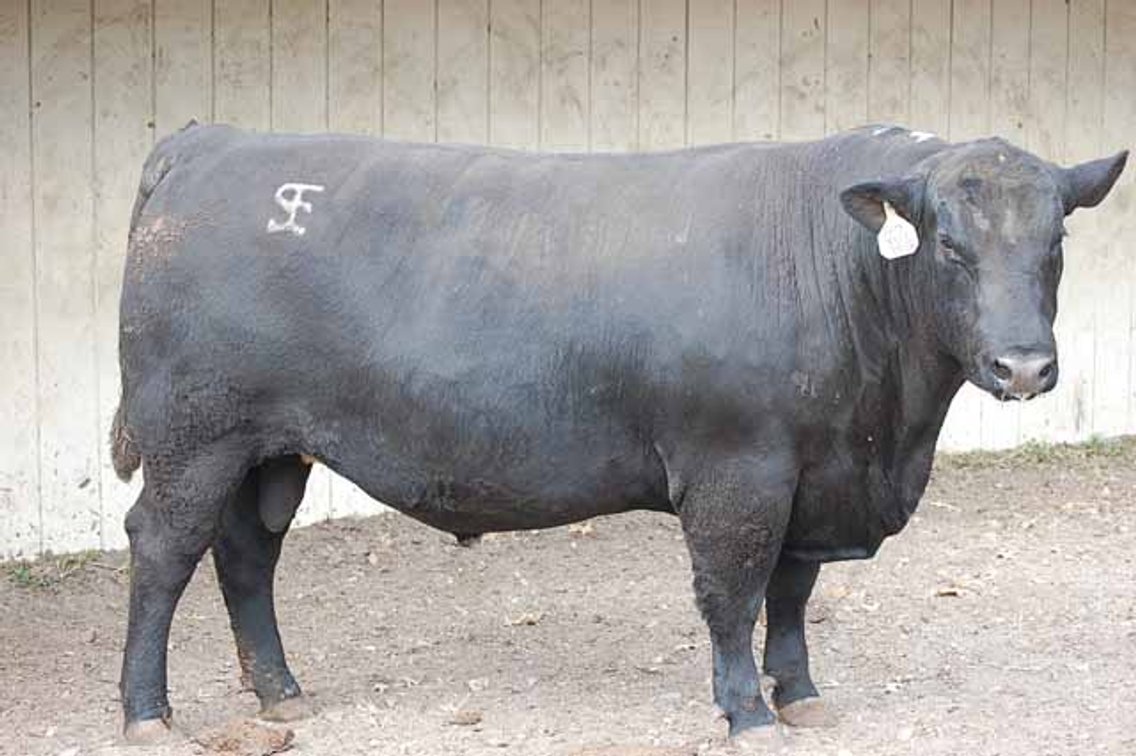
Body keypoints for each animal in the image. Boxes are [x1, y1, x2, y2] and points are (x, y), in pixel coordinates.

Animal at [110, 121, 1126, 743]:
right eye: (950, 245)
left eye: (1056, 245)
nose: (1024, 367)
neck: (884, 430)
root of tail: (212, 141)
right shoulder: (739, 469)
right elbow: (733, 592)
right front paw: (744, 711)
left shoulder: (814, 472)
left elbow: (793, 593)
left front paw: (800, 696)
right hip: (191, 437)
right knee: (162, 549)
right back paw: (147, 714)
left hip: (268, 447)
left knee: (246, 554)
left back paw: (281, 692)